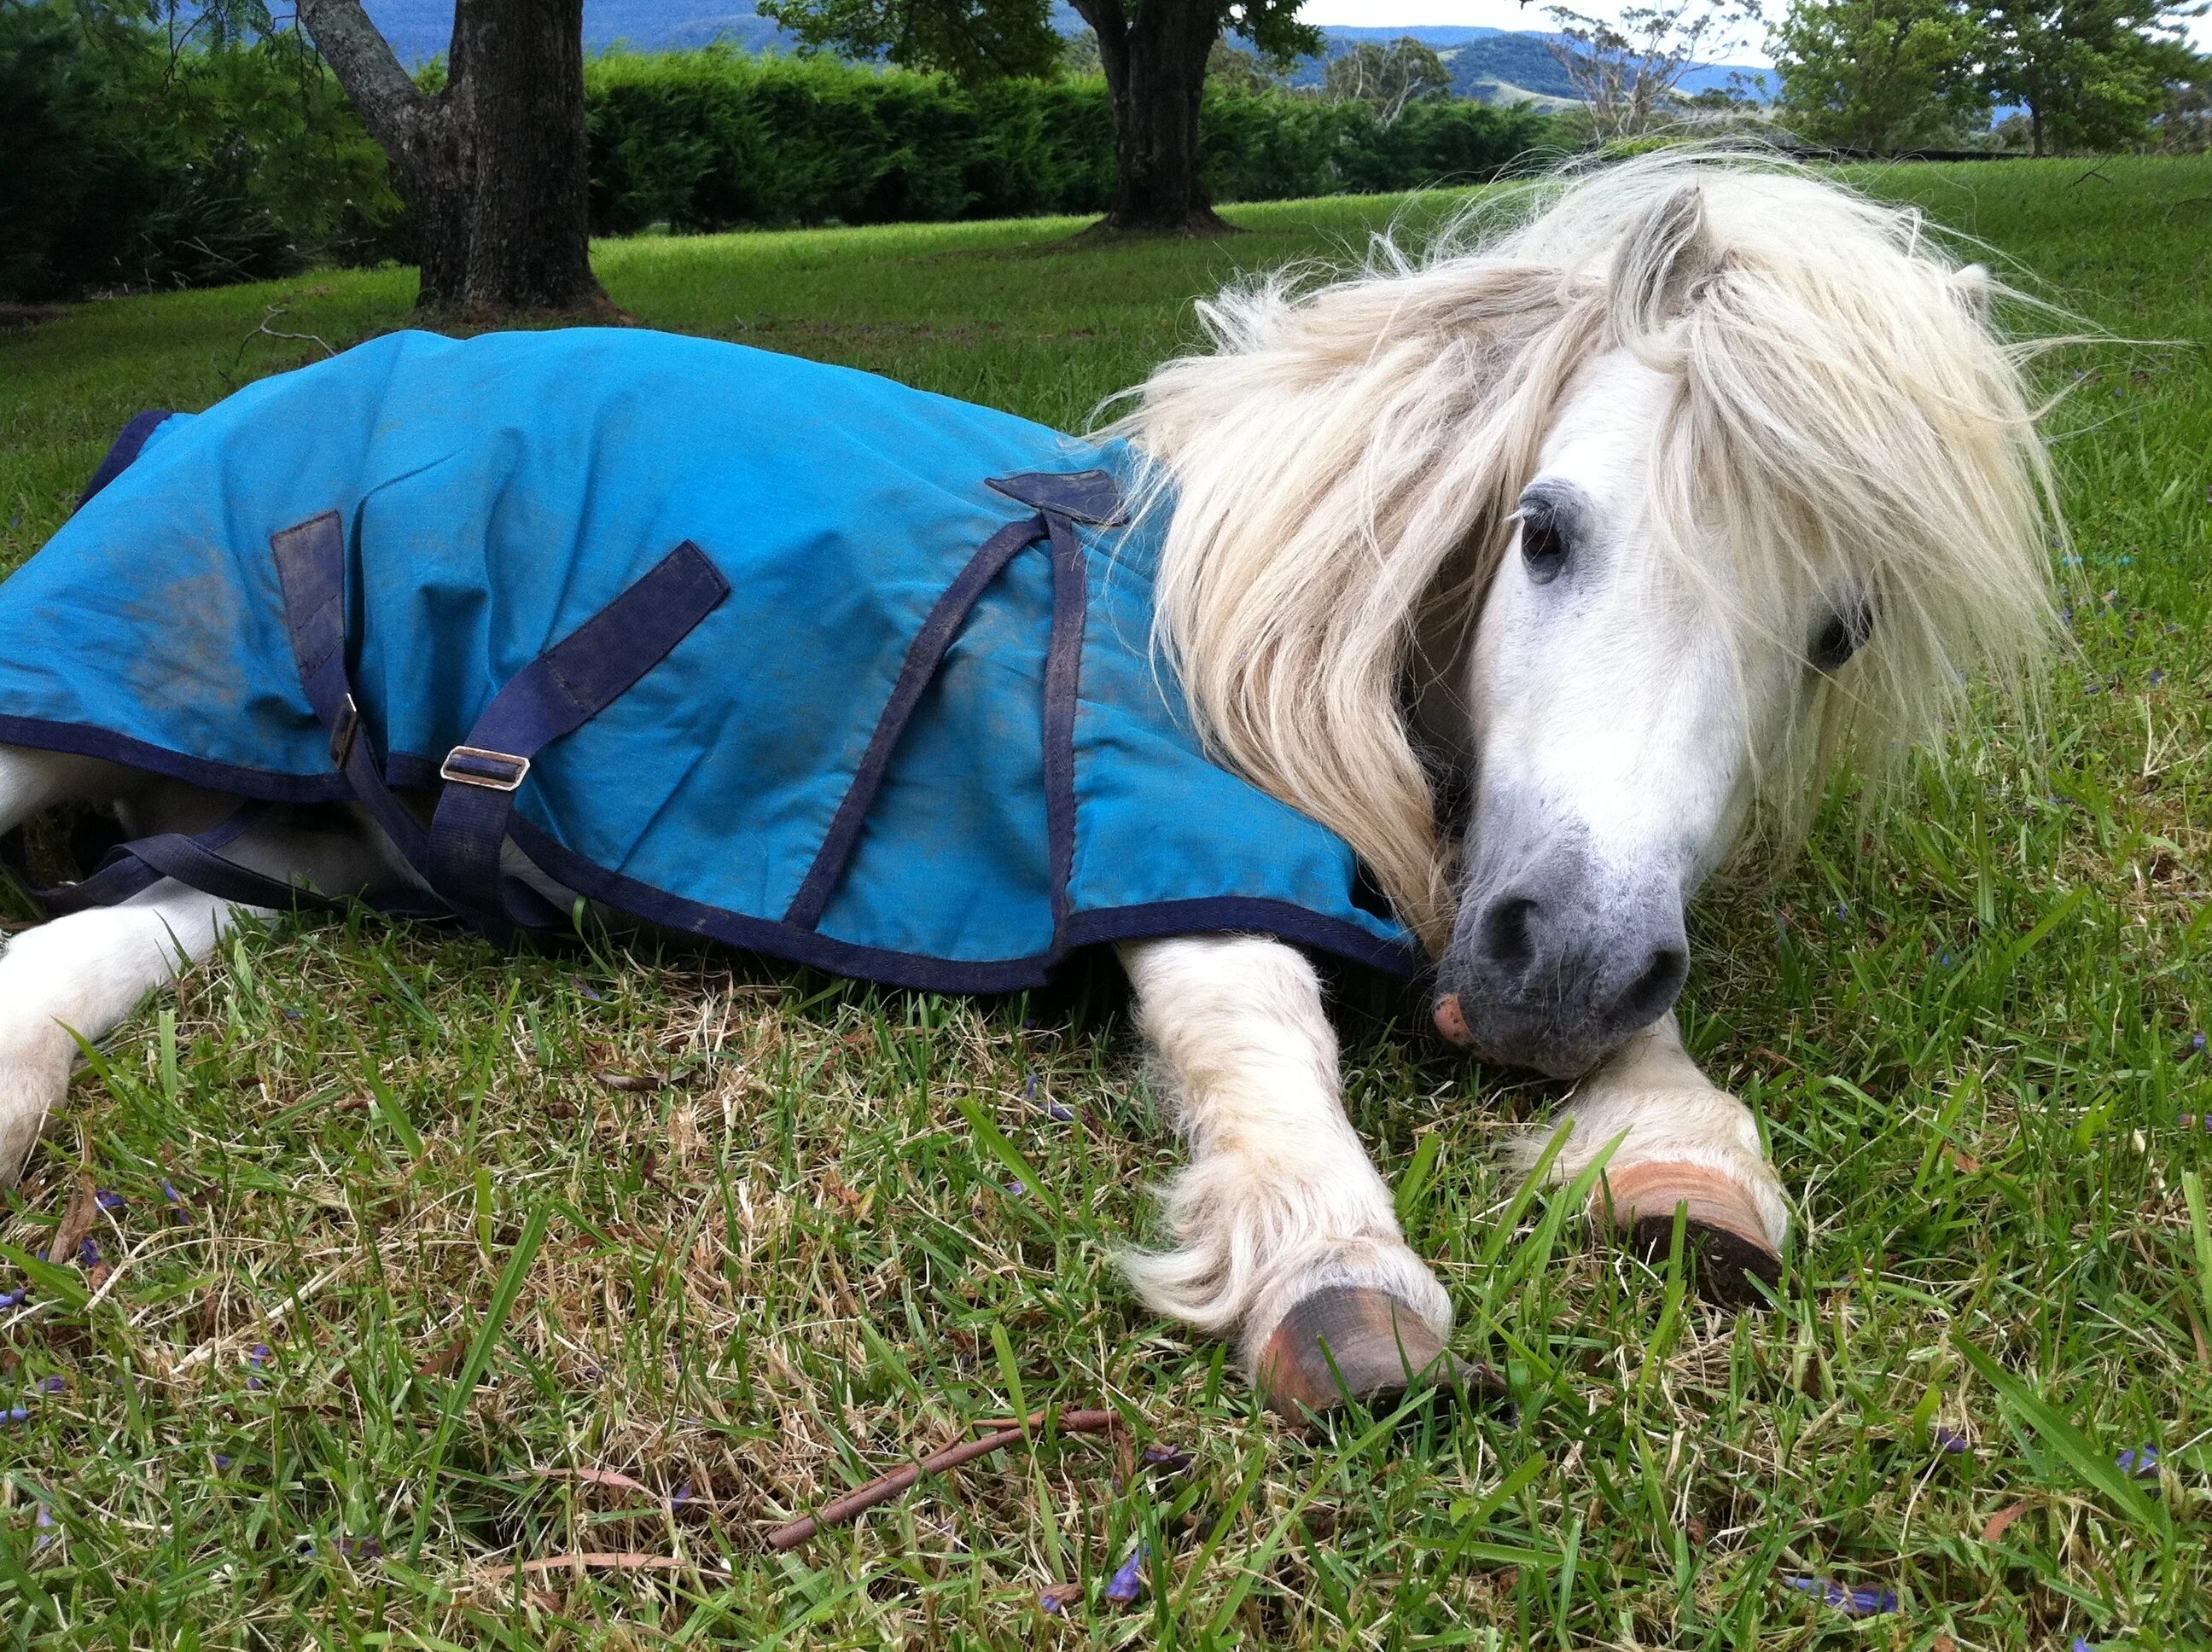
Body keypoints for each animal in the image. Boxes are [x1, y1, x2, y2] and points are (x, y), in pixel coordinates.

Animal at [0, 154, 2052, 1415]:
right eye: (1545, 529)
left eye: (1839, 634)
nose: (1562, 982)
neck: (1242, 614)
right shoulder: (1156, 815)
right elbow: (1253, 1016)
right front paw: (1336, 1269)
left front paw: (1674, 1148)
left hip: (314, 827)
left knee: (128, 922)